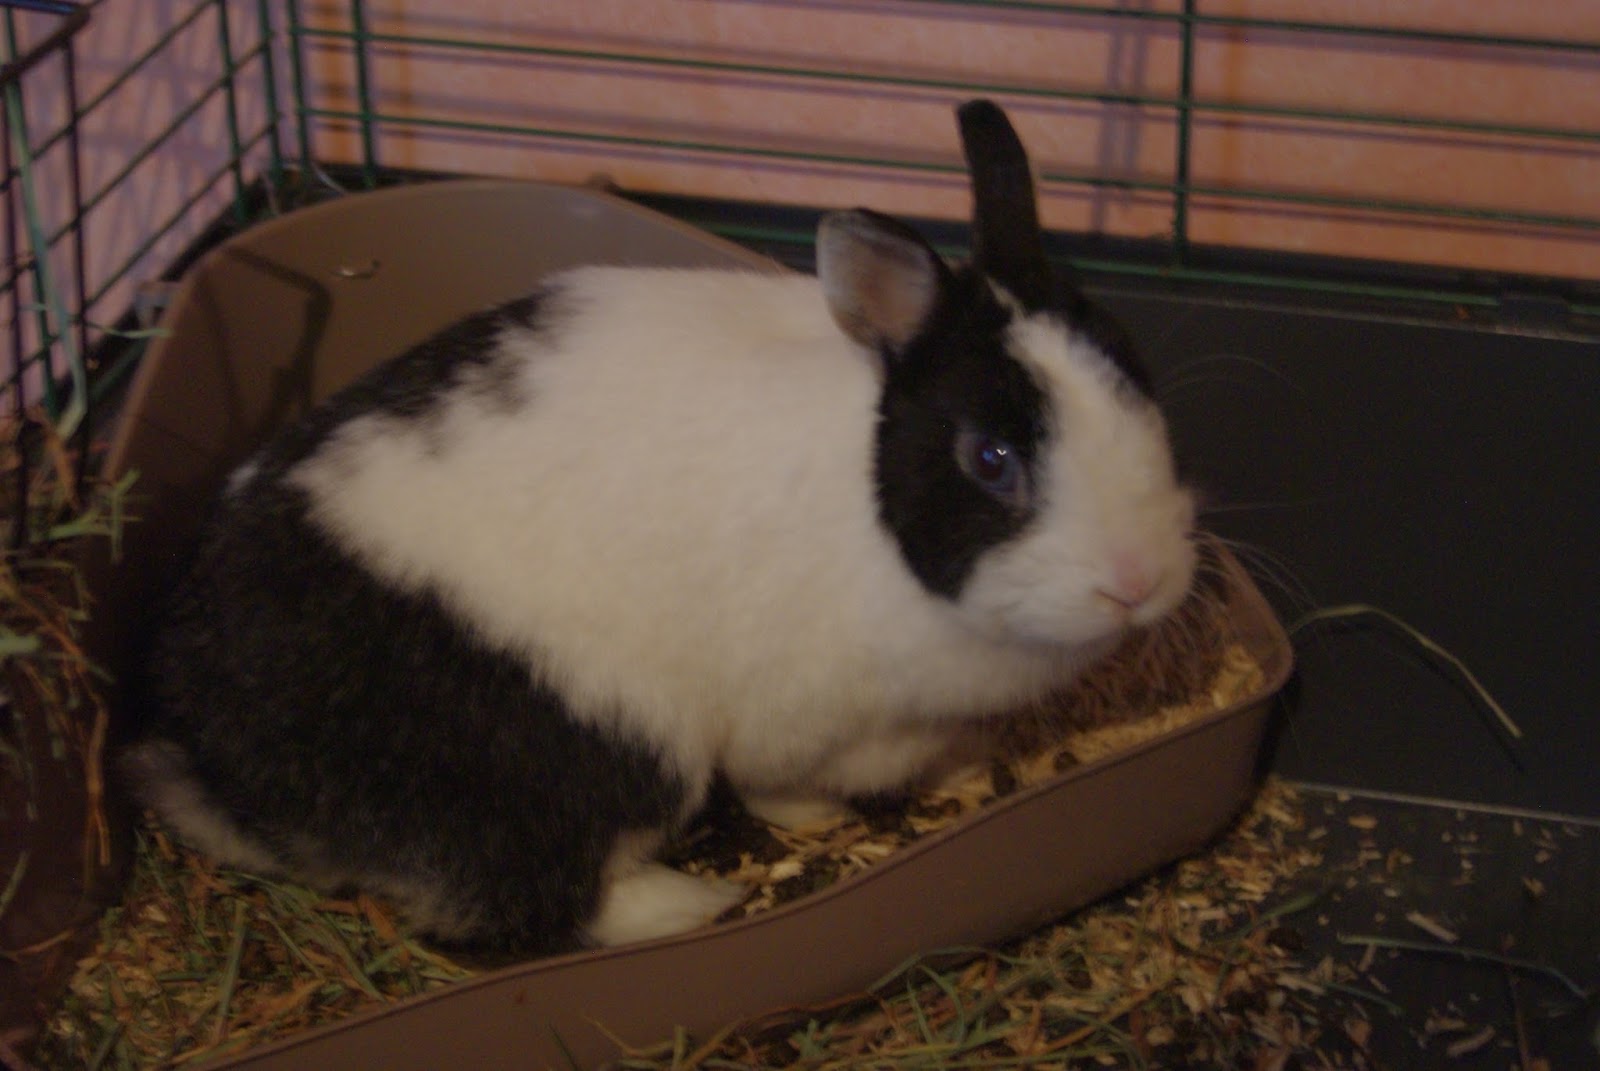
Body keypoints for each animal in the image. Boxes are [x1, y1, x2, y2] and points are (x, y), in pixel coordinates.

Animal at [122, 99, 1198, 956]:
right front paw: (818, 823)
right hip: (590, 749)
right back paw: (690, 906)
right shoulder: (797, 722)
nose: (1138, 580)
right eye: (990, 458)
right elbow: (784, 787)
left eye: (1141, 381)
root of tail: (214, 754)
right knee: (530, 898)